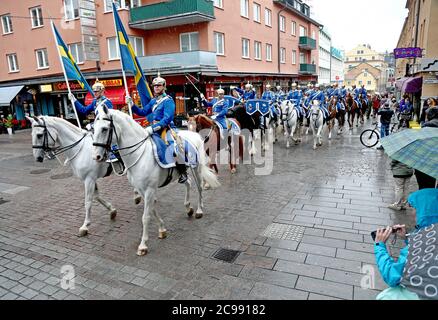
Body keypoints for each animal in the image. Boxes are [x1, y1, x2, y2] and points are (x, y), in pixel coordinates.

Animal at [91, 106, 219, 256]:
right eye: (93, 129)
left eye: (104, 129)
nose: (96, 156)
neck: (139, 154)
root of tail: (194, 135)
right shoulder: (143, 190)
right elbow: (152, 210)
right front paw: (162, 229)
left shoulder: (149, 190)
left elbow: (146, 217)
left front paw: (143, 245)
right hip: (182, 173)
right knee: (188, 183)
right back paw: (188, 208)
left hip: (196, 168)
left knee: (199, 188)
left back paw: (199, 210)